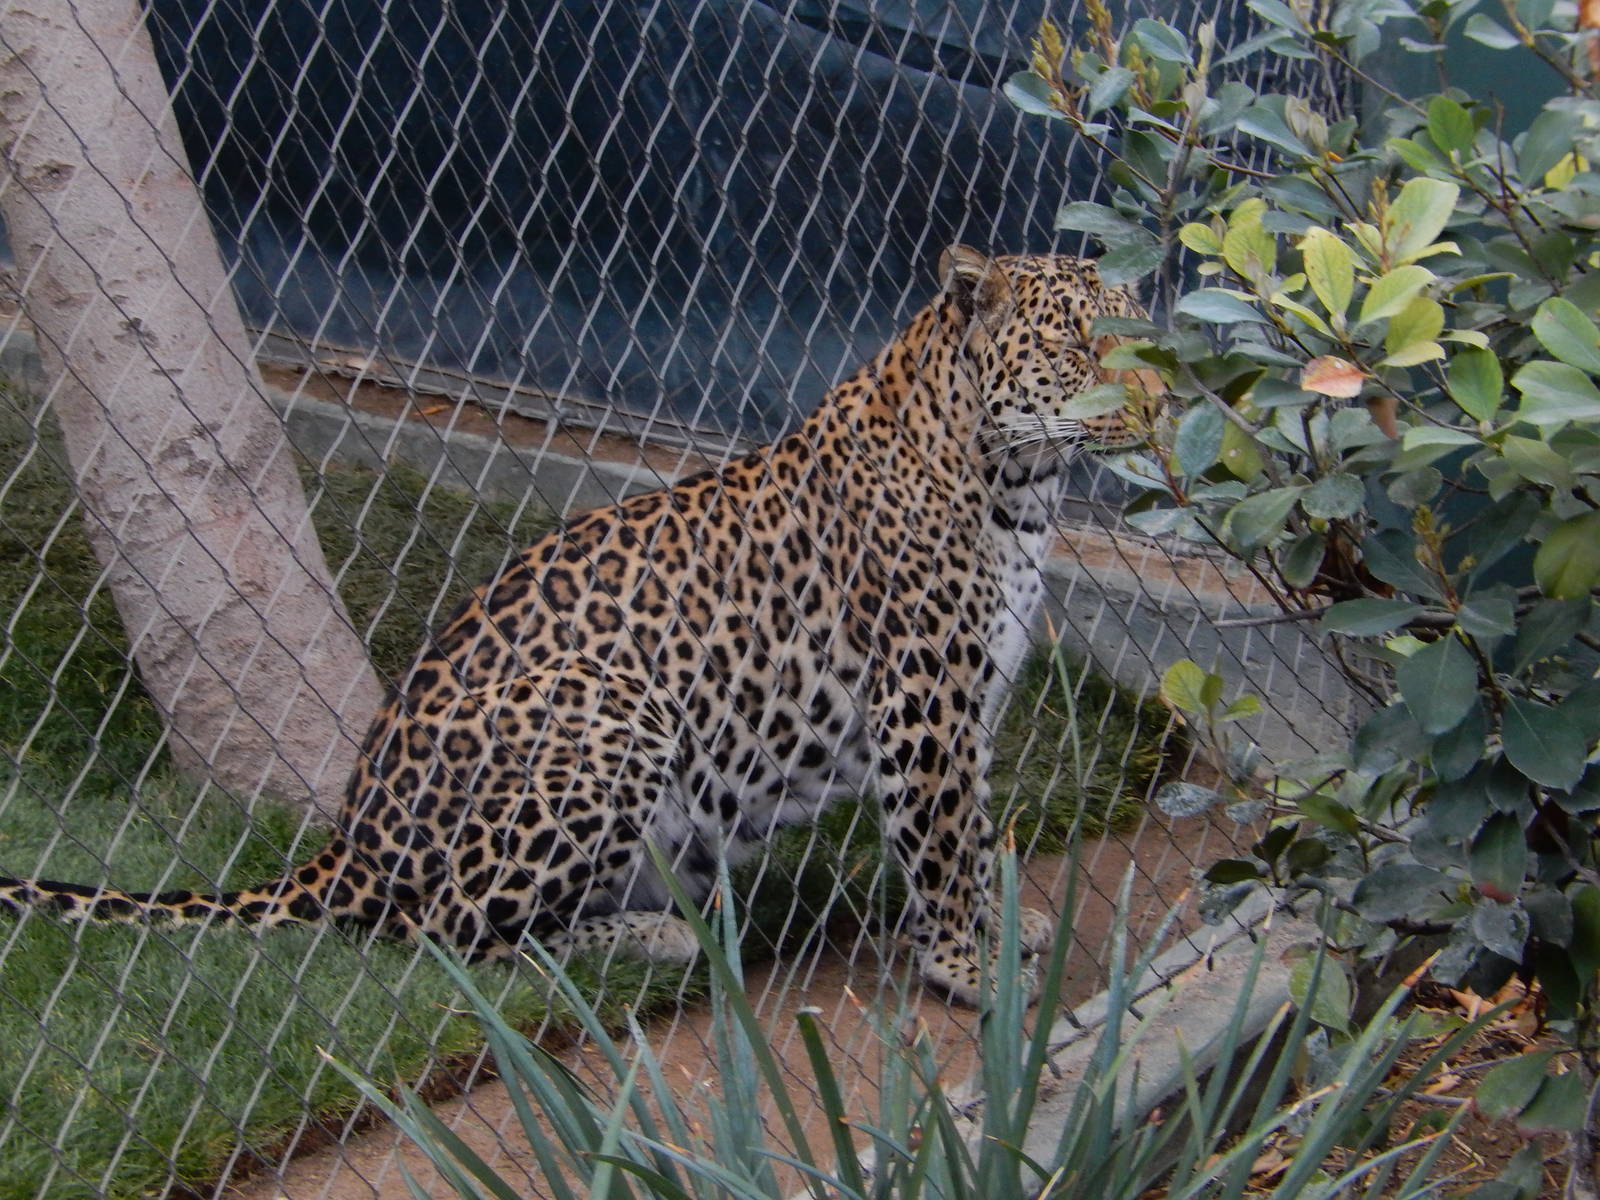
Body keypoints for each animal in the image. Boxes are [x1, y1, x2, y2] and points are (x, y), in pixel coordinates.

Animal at [0, 246, 1161, 1004]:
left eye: (1143, 339)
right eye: (1075, 341)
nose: (1154, 404)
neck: (1019, 483)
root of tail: (349, 839)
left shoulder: (969, 701)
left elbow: (968, 830)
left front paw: (1002, 936)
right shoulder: (924, 700)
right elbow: (943, 841)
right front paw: (969, 970)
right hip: (608, 715)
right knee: (432, 937)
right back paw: (644, 946)